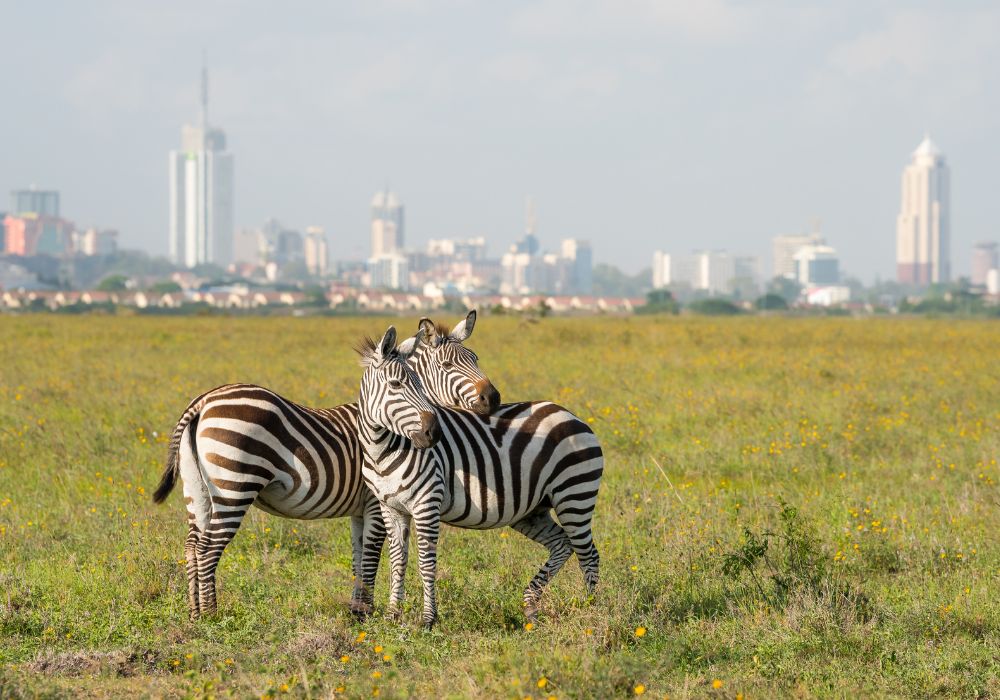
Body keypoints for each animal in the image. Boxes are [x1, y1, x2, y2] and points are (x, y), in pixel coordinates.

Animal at [150, 310, 498, 616]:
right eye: (448, 364)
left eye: (476, 358)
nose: (493, 399)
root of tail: (203, 401)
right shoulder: (375, 503)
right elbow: (372, 556)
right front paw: (365, 611)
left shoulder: (360, 509)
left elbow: (359, 556)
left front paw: (357, 609)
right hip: (234, 486)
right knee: (208, 548)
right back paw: (211, 615)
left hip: (197, 488)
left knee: (192, 545)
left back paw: (194, 612)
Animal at [356, 326, 600, 628]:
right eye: (395, 385)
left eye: (420, 385)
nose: (434, 434)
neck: (383, 450)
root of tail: (571, 415)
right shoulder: (391, 508)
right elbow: (397, 561)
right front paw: (392, 616)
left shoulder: (427, 504)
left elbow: (426, 563)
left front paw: (428, 620)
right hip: (532, 511)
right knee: (562, 544)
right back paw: (531, 605)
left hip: (575, 495)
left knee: (588, 554)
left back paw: (592, 611)